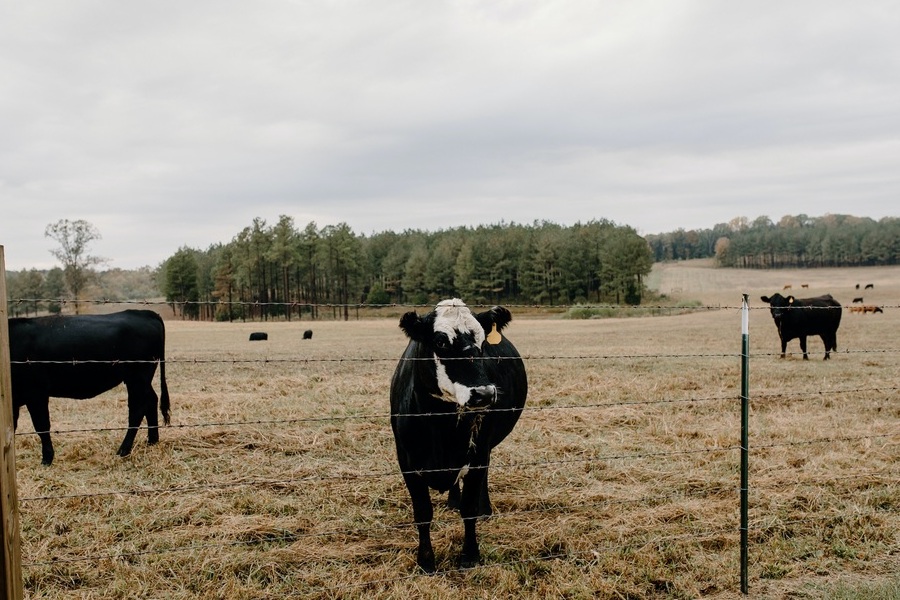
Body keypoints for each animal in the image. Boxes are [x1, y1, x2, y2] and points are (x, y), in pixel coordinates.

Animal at [9, 310, 171, 464]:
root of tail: (144, 313)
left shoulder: (36, 392)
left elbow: (41, 426)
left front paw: (47, 458)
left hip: (137, 378)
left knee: (137, 410)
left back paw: (123, 450)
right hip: (140, 380)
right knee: (151, 400)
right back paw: (152, 441)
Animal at [388, 298, 528, 572]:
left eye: (483, 342)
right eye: (441, 341)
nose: (484, 393)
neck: (440, 428)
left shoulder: (478, 454)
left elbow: (469, 508)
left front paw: (470, 555)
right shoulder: (406, 461)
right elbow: (422, 513)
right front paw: (426, 561)